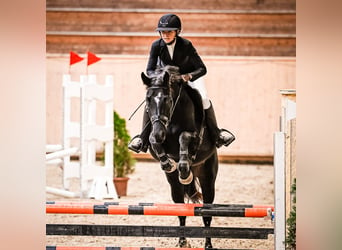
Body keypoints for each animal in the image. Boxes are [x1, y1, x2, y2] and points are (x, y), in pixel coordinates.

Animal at [140, 65, 218, 248]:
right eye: (148, 101)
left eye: (168, 99)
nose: (160, 133)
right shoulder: (155, 136)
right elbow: (153, 141)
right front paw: (167, 163)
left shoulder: (195, 137)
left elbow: (184, 137)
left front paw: (184, 169)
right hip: (174, 186)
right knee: (180, 209)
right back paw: (182, 241)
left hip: (208, 178)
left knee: (207, 214)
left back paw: (208, 244)